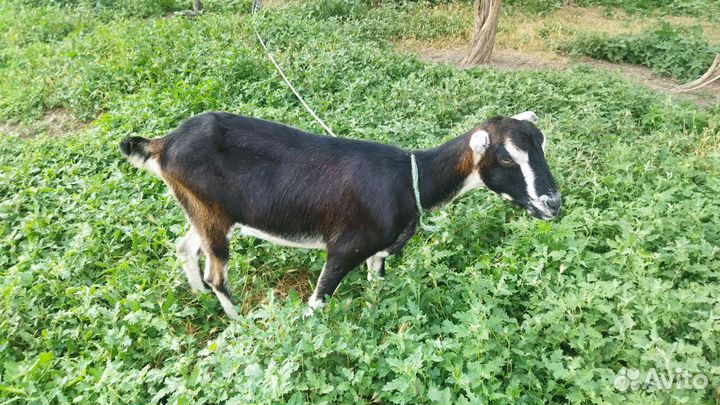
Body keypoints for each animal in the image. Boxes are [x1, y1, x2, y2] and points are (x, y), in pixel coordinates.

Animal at [120, 111, 561, 319]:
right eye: (506, 157)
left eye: (541, 145)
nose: (552, 203)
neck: (410, 178)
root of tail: (162, 144)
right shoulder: (346, 247)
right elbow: (317, 301)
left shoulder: (379, 251)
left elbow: (377, 283)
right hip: (211, 214)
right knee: (217, 274)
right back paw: (243, 322)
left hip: (203, 210)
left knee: (185, 247)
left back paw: (197, 296)